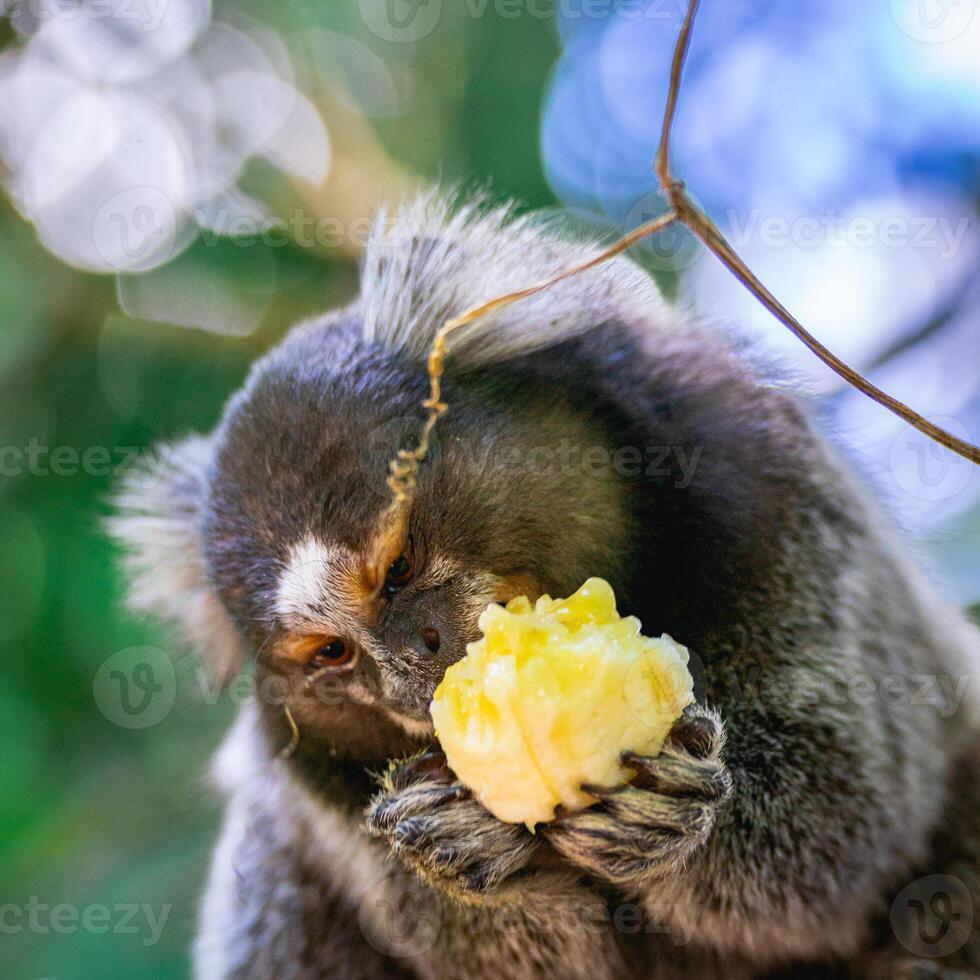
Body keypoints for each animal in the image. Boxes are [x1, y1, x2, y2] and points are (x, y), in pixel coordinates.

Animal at [113, 193, 980, 980]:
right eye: (330, 653)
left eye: (398, 567)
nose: (414, 665)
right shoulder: (310, 773)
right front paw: (453, 852)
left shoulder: (777, 499)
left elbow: (845, 835)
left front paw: (682, 814)